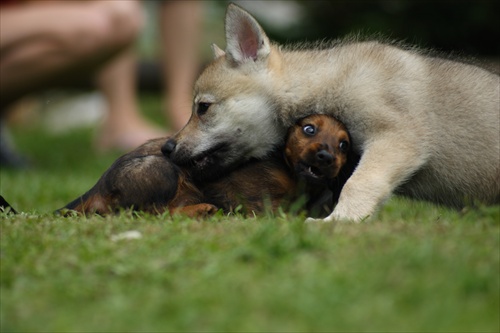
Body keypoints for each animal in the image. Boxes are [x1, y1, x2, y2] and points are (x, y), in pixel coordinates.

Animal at [59, 114, 356, 217]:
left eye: (344, 145)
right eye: (309, 129)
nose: (327, 157)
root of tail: (96, 187)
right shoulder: (255, 201)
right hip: (163, 169)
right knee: (153, 212)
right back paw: (201, 209)